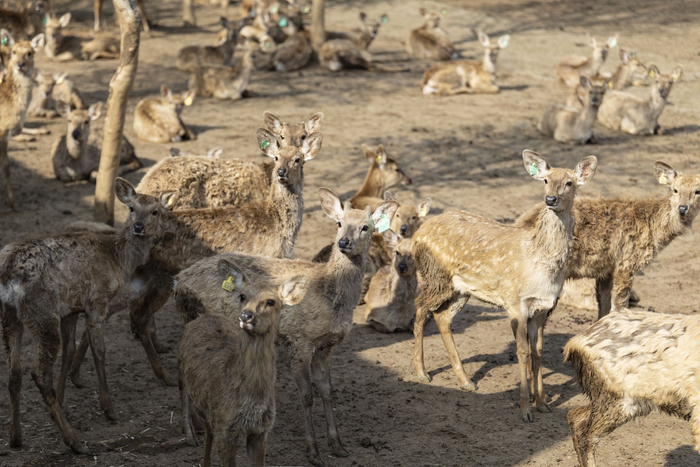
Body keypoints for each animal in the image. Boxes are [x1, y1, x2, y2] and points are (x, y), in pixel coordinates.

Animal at [0, 178, 176, 454]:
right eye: (132, 208)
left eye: (155, 211)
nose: (138, 227)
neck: (118, 261)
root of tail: (9, 273)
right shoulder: (97, 300)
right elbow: (99, 352)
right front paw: (109, 410)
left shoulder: (71, 309)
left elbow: (70, 350)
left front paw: (62, 401)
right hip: (42, 312)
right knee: (38, 372)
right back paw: (74, 441)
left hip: (10, 316)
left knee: (14, 372)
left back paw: (15, 438)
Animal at [69, 131, 323, 388]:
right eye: (276, 156)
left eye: (299, 159)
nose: (281, 172)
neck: (279, 225)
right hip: (159, 279)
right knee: (134, 316)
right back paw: (162, 375)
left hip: (138, 279)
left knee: (105, 315)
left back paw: (78, 376)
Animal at [180, 265, 308, 467]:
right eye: (242, 296)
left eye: (271, 301)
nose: (245, 315)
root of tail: (202, 316)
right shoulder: (223, 427)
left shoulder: (261, 431)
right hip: (202, 403)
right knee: (207, 430)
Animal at [412, 150, 597, 422]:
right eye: (545, 180)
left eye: (569, 183)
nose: (550, 199)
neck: (540, 266)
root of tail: (416, 236)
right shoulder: (514, 301)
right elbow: (522, 352)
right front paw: (525, 409)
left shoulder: (544, 307)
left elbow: (538, 351)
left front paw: (543, 403)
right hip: (435, 276)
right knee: (420, 308)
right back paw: (422, 372)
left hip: (460, 289)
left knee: (442, 316)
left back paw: (466, 381)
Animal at [516, 161, 700, 320]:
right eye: (675, 190)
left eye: (697, 191)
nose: (682, 208)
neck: (653, 226)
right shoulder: (626, 263)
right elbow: (619, 306)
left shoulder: (606, 270)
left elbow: (604, 307)